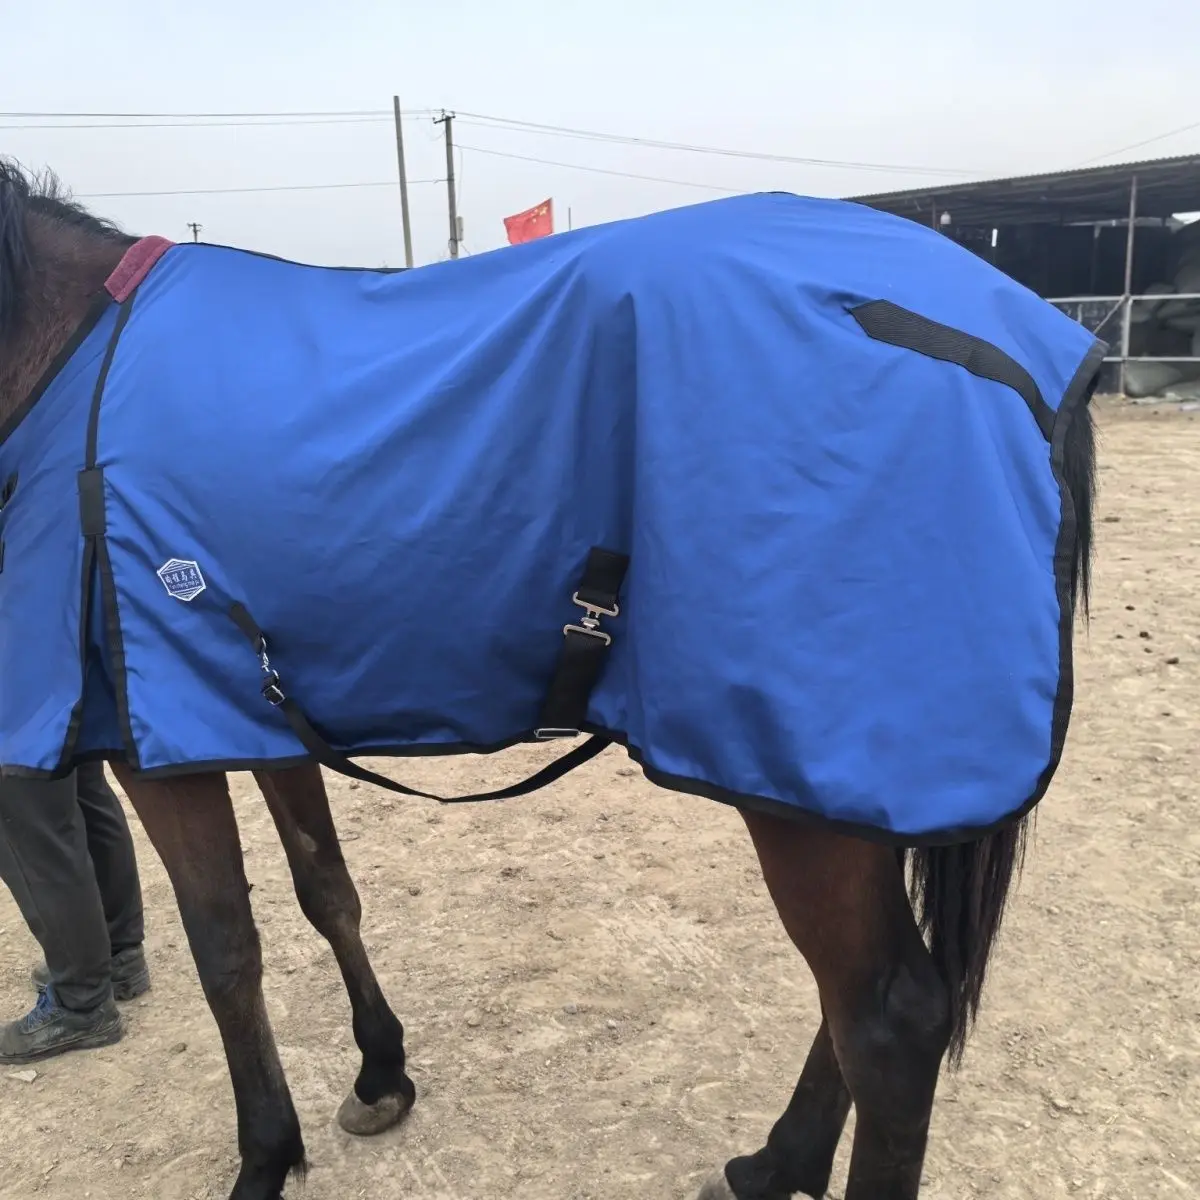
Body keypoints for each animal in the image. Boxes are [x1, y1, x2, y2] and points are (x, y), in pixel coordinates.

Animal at [0, 158, 1100, 1200]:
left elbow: (225, 947)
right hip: (855, 800)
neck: (75, 360)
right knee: (856, 1003)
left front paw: (267, 1157)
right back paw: (772, 1165)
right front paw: (380, 1076)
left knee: (888, 1020)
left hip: (809, 790)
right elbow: (325, 892)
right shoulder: (245, 708)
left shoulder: (157, 745)